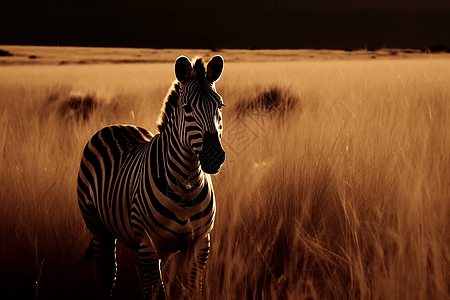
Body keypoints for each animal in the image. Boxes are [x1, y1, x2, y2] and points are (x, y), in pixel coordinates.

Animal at [78, 55, 227, 298]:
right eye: (187, 108)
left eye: (220, 105)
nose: (214, 156)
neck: (186, 182)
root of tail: (115, 125)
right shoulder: (148, 245)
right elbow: (156, 293)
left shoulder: (199, 244)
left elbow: (192, 290)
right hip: (98, 226)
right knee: (107, 274)